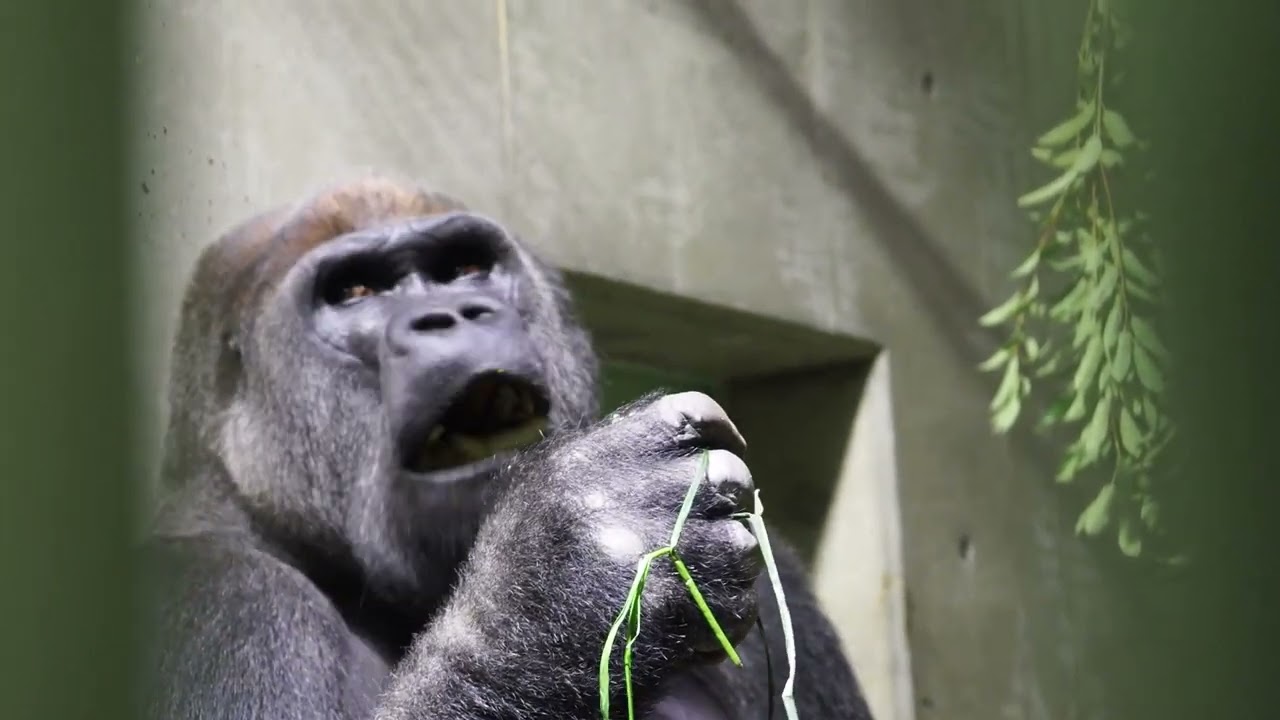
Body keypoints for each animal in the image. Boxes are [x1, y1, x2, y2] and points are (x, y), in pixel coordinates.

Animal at [142, 174, 874, 720]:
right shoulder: (218, 596)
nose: (455, 314)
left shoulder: (780, 578)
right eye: (354, 292)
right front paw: (572, 573)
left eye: (466, 267)